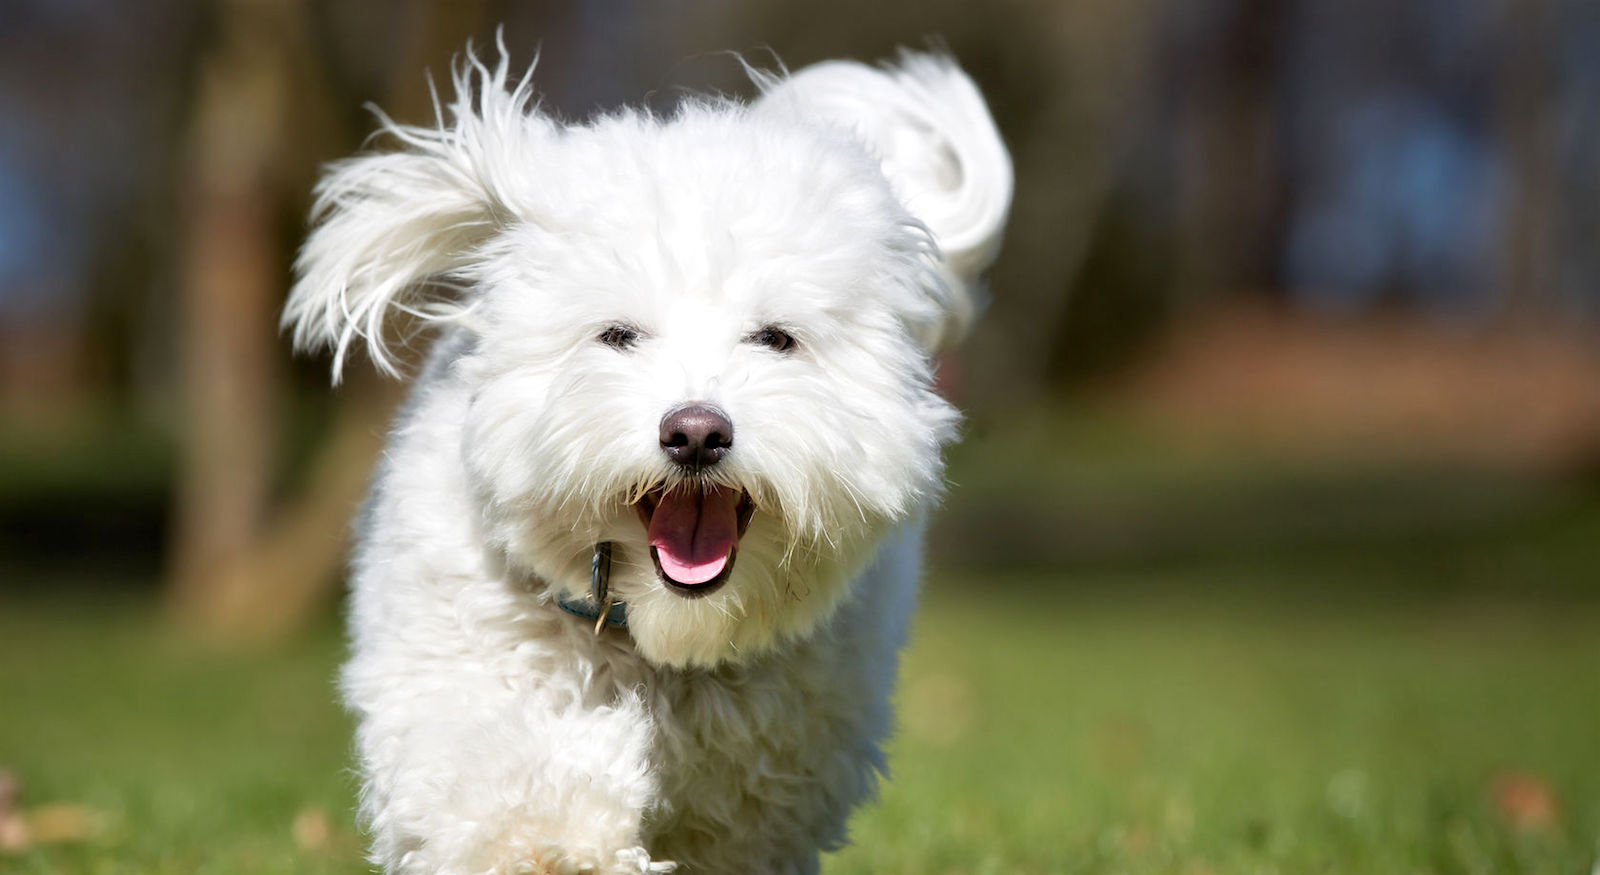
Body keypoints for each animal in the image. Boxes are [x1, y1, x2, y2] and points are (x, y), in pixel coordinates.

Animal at [284, 46, 1011, 875]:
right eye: (618, 335)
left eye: (775, 338)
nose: (695, 432)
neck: (661, 637)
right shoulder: (454, 673)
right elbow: (499, 780)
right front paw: (556, 843)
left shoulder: (771, 780)